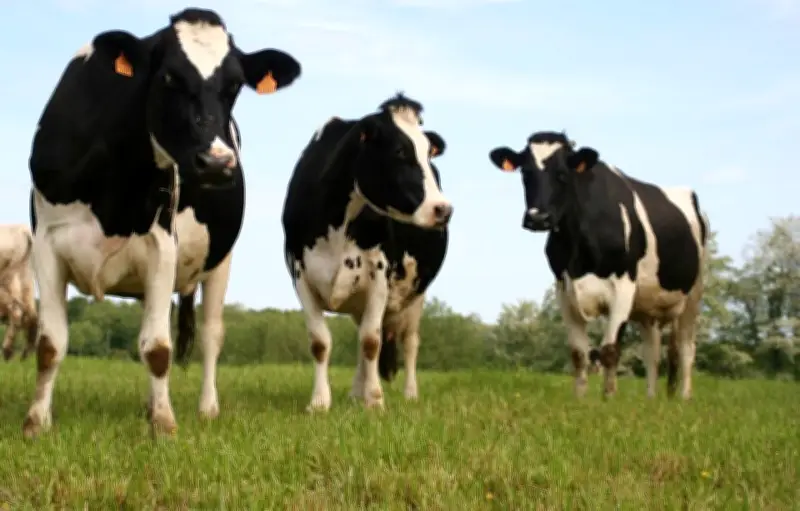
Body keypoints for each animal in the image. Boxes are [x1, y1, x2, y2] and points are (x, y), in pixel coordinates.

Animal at [0, 224, 38, 361]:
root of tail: (23, 230)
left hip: (9, 278)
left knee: (16, 311)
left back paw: (7, 351)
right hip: (26, 278)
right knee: (31, 314)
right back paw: (25, 354)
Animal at [23, 7, 301, 438]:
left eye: (235, 84)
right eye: (169, 76)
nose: (217, 163)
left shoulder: (161, 245)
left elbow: (157, 348)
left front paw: (164, 425)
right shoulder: (46, 245)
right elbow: (50, 344)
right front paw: (37, 422)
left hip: (221, 261)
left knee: (210, 334)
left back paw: (206, 408)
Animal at [282, 93, 452, 412]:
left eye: (428, 153)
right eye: (399, 151)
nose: (443, 209)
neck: (337, 223)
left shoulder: (379, 276)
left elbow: (372, 341)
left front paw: (374, 401)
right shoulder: (300, 274)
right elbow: (320, 342)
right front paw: (320, 402)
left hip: (416, 295)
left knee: (409, 343)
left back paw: (409, 393)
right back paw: (354, 393)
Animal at [488, 131, 708, 400]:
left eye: (563, 173)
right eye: (525, 173)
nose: (538, 218)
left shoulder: (623, 287)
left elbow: (610, 350)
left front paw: (608, 398)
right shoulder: (564, 291)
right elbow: (578, 353)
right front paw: (580, 399)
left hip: (693, 294)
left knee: (686, 347)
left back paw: (685, 397)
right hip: (649, 305)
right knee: (652, 352)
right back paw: (650, 399)